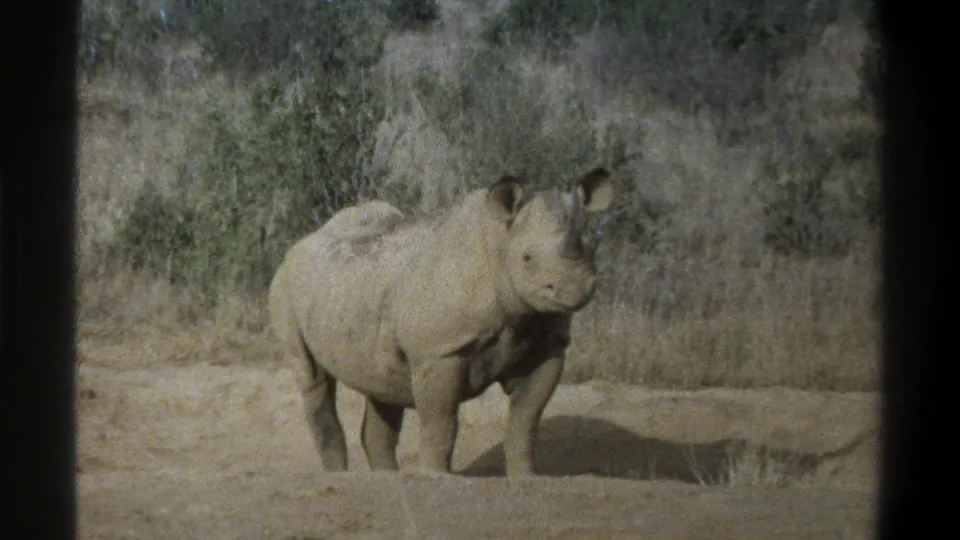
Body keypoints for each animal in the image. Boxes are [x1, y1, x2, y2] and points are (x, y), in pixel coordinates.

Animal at [268, 168, 614, 477]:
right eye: (527, 258)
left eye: (591, 250)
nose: (575, 289)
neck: (500, 243)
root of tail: (299, 244)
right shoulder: (439, 351)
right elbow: (441, 420)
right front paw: (436, 476)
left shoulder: (547, 345)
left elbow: (526, 420)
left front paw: (526, 477)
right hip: (285, 287)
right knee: (313, 377)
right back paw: (339, 475)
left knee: (381, 386)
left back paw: (387, 477)